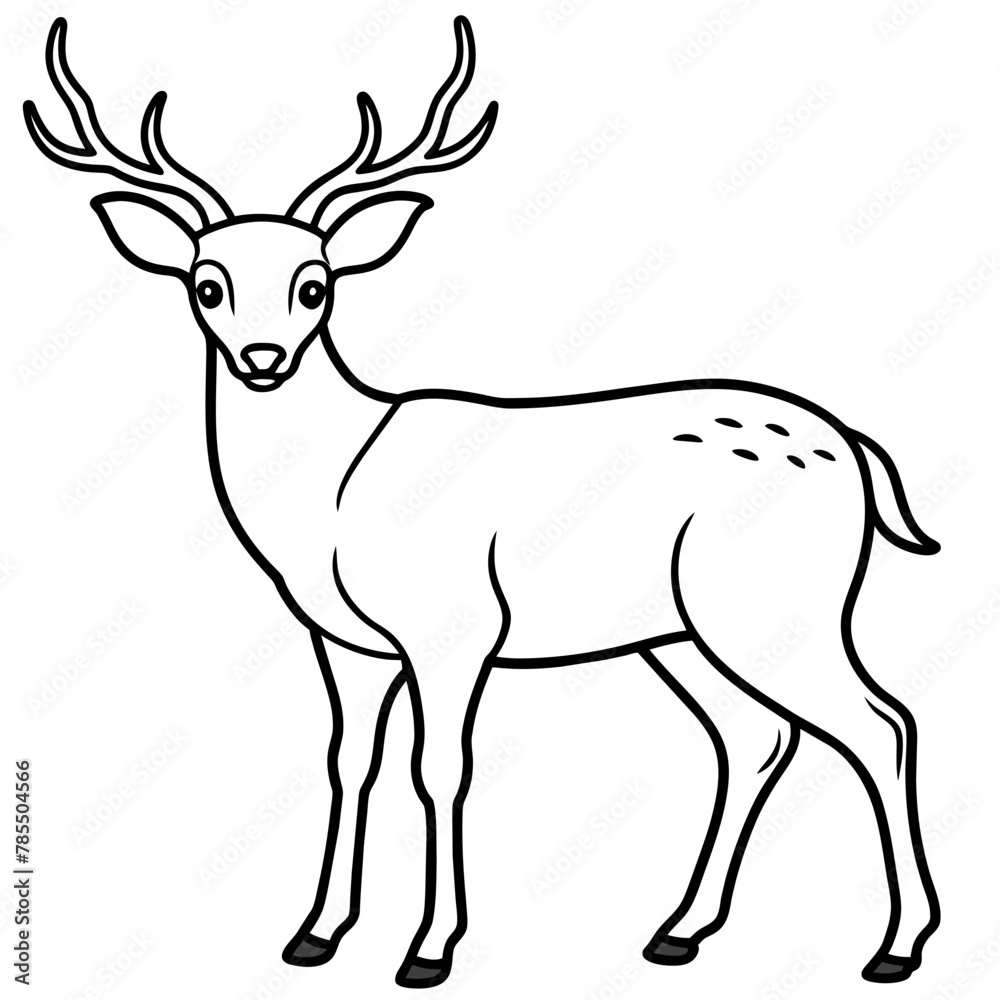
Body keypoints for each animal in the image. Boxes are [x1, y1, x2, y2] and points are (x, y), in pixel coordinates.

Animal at [25, 15, 941, 988]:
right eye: (206, 284)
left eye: (316, 284)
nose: (262, 357)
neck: (332, 499)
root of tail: (856, 448)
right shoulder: (345, 641)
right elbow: (349, 763)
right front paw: (316, 933)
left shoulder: (455, 625)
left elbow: (440, 769)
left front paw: (429, 949)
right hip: (680, 629)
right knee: (756, 737)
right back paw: (679, 930)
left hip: (777, 604)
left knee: (882, 724)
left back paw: (896, 946)